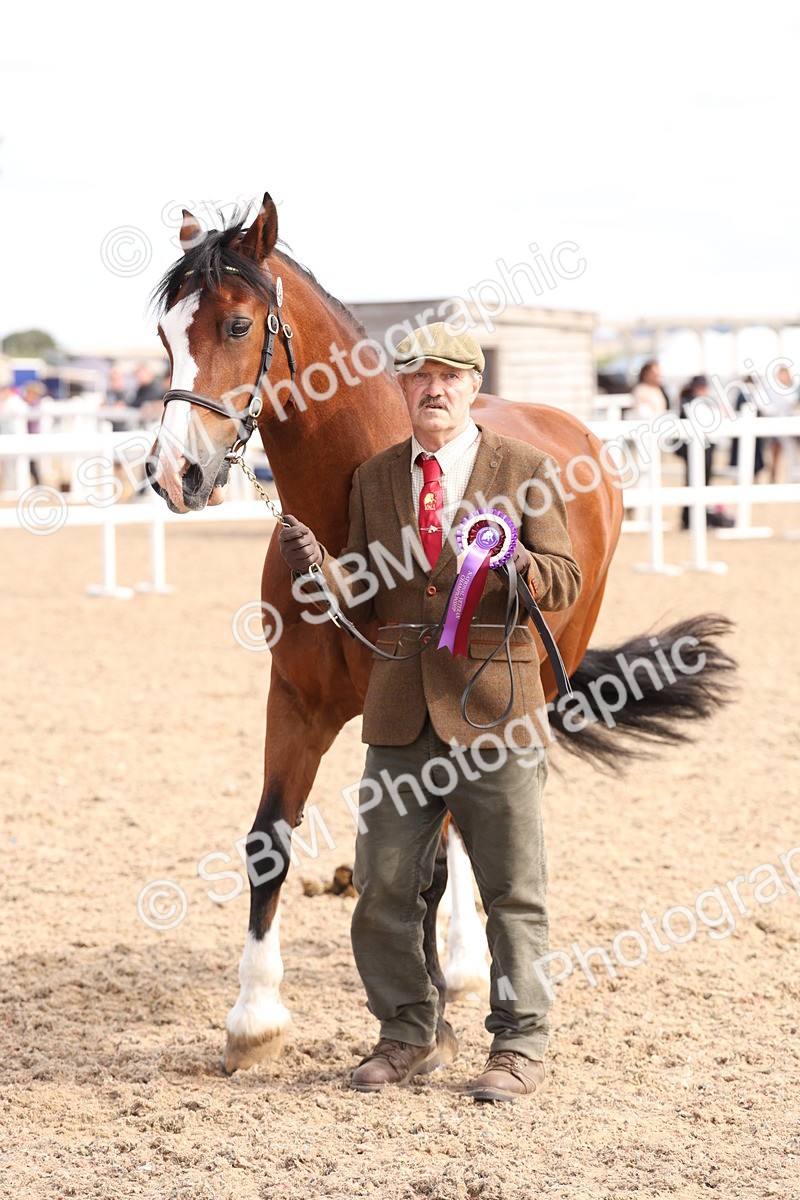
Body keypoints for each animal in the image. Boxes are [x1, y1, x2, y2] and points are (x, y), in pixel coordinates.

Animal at [147, 193, 735, 1073]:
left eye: (238, 325)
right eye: (164, 334)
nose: (172, 475)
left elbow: (427, 856)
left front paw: (431, 1021)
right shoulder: (296, 703)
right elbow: (270, 841)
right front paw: (253, 1020)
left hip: (520, 688)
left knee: (471, 826)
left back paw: (461, 966)